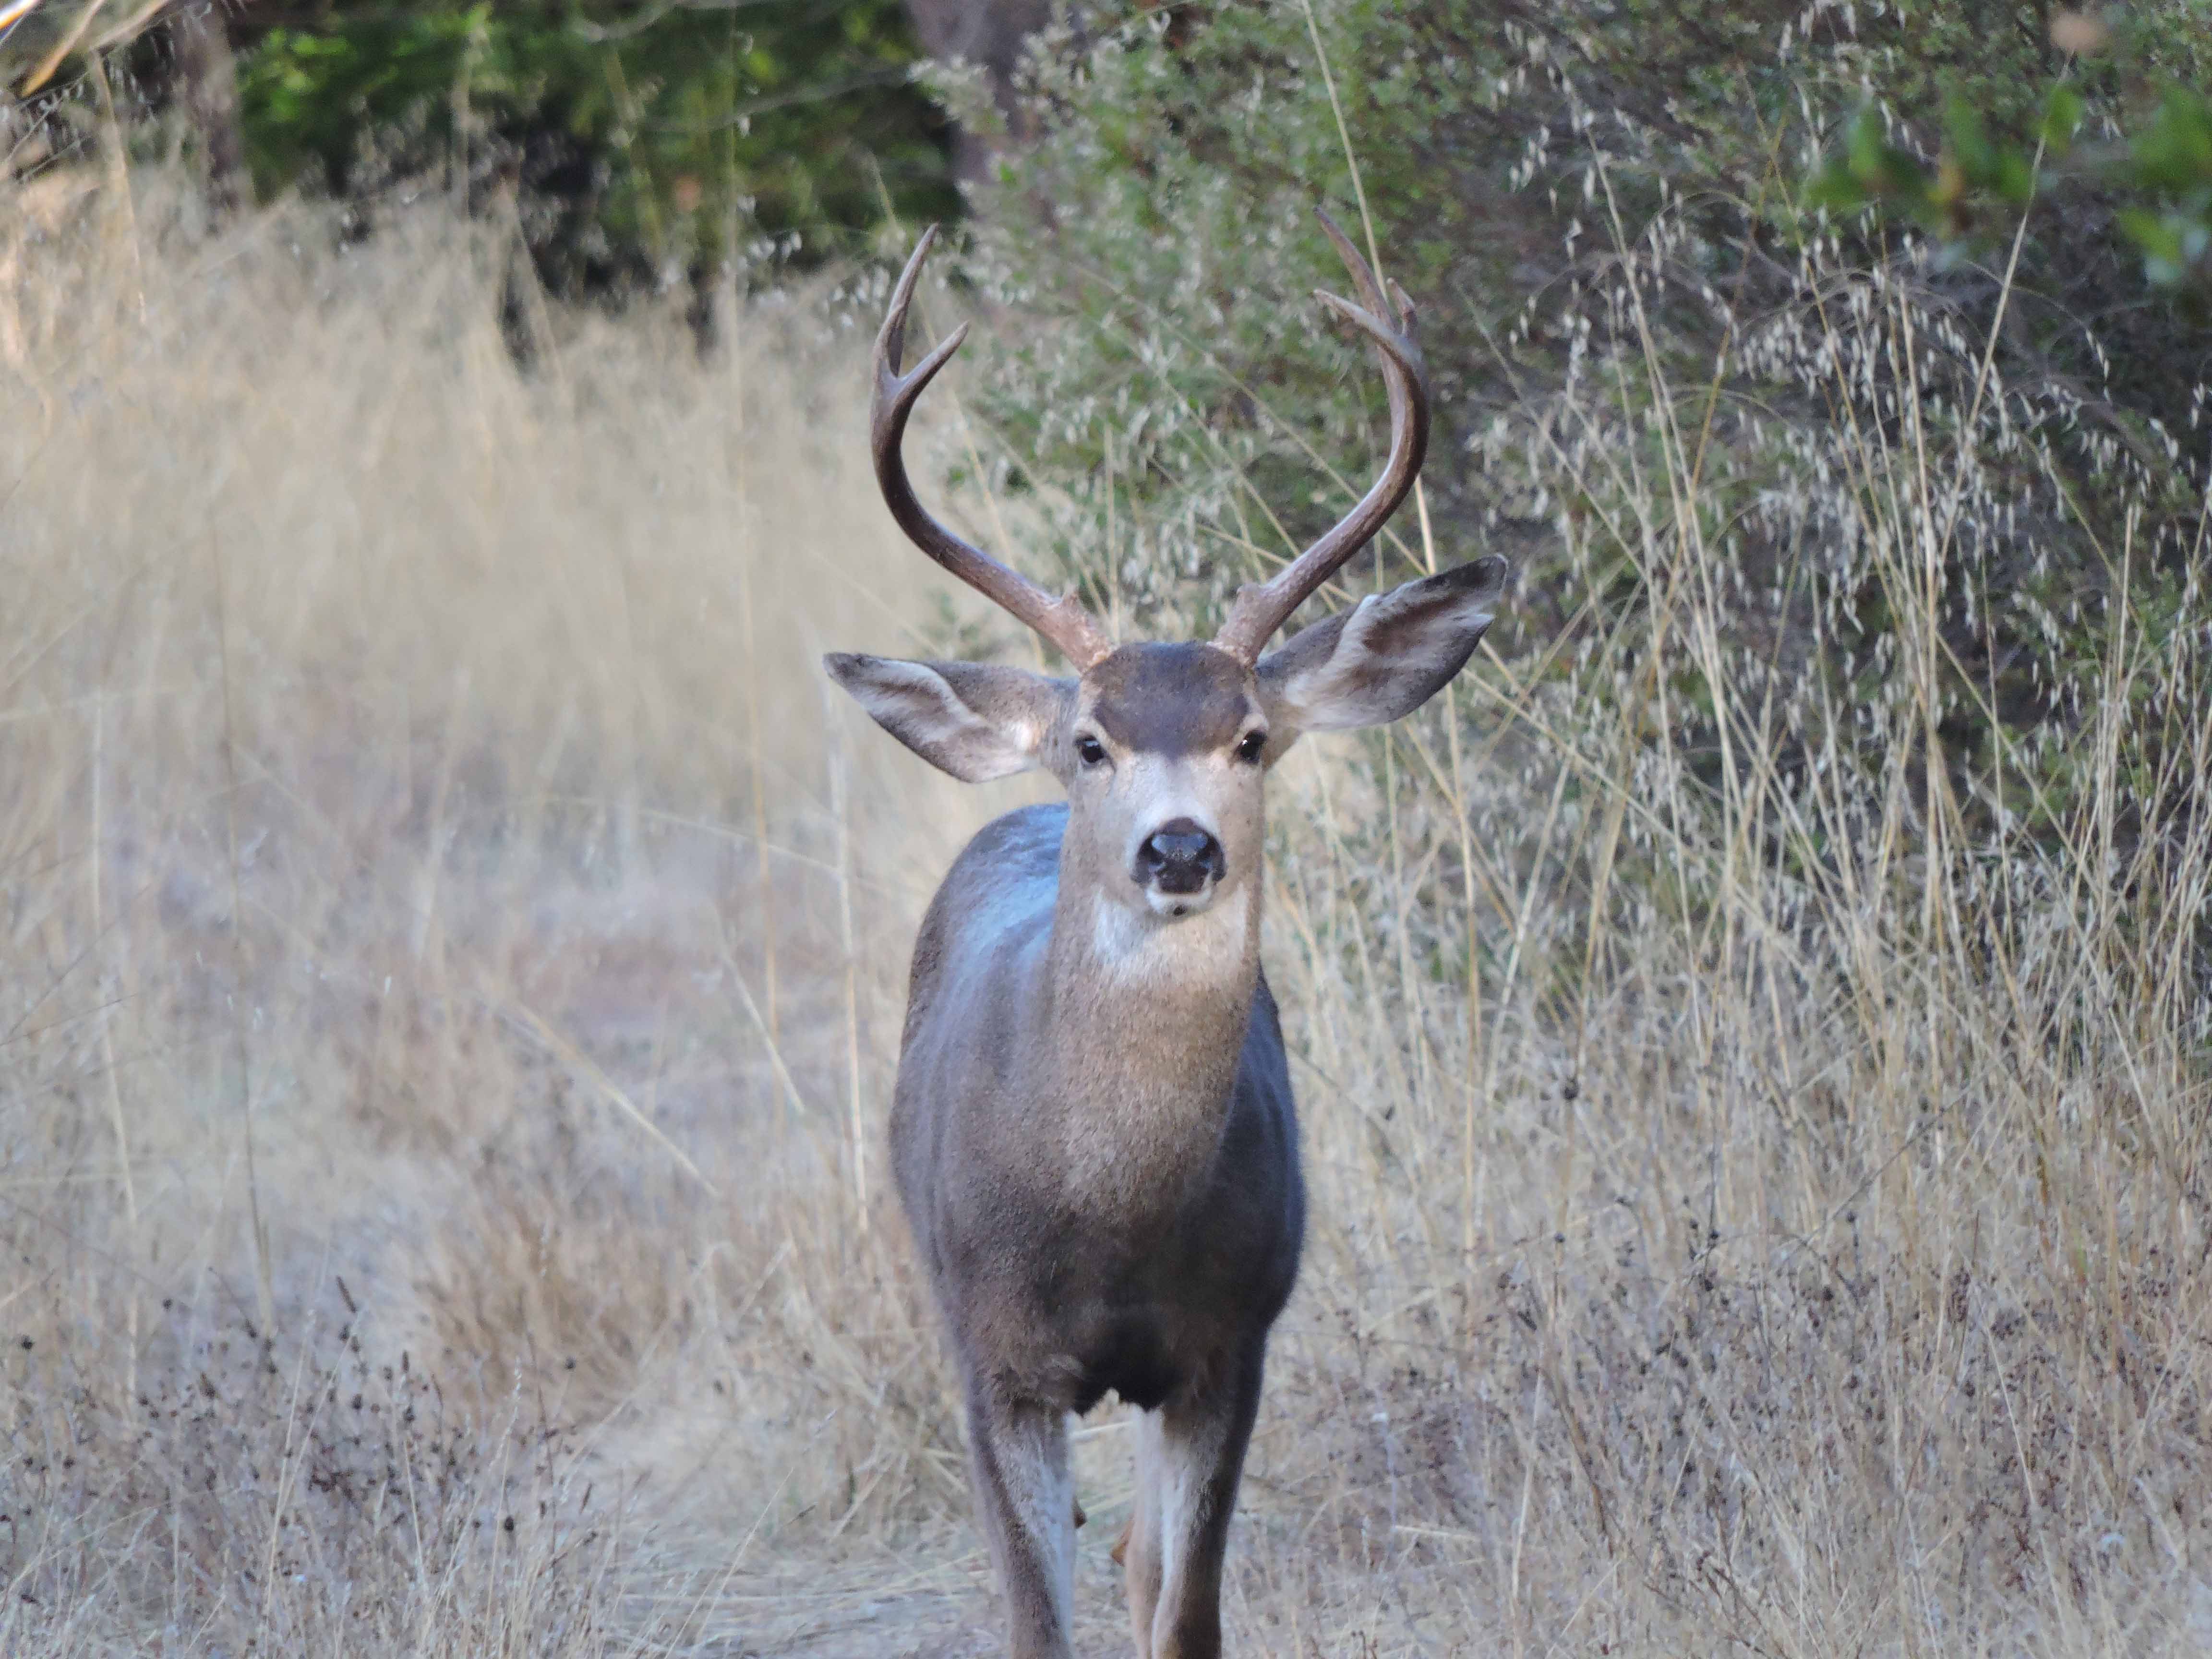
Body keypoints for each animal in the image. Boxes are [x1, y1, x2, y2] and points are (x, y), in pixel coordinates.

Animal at [824, 212, 1508, 1659]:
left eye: (1249, 737)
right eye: (1091, 740)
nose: (1180, 847)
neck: (1107, 1214)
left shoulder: (1227, 1344)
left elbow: (1184, 1608)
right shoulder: (992, 1351)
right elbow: (1036, 1619)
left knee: (1139, 1557)